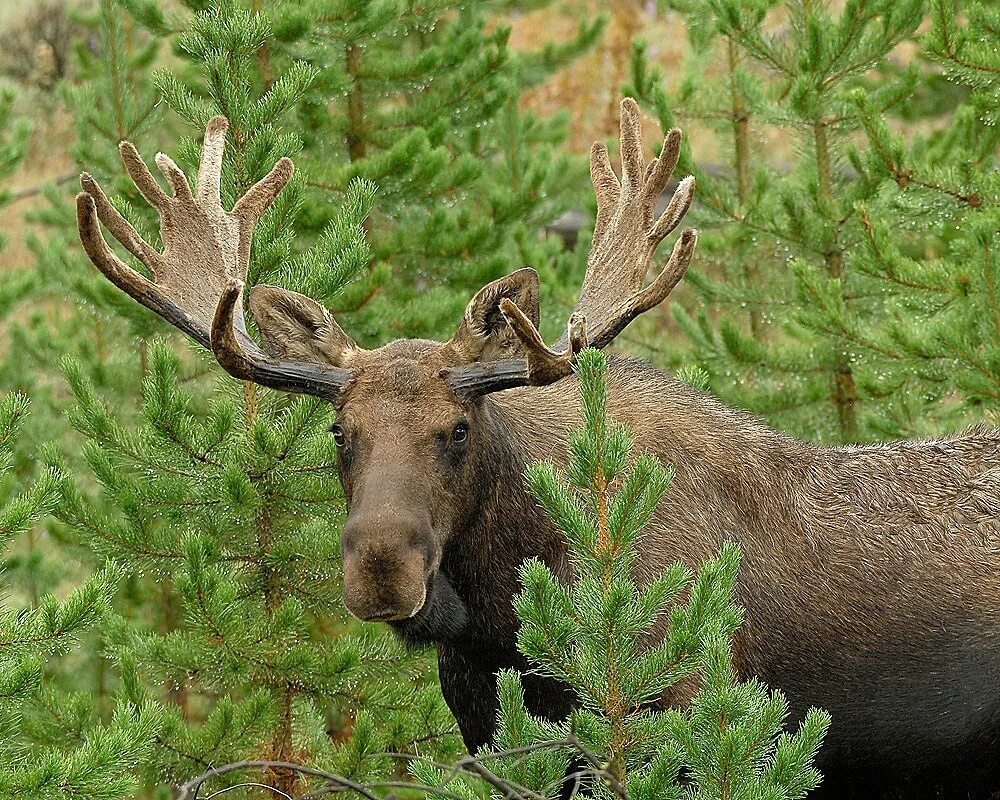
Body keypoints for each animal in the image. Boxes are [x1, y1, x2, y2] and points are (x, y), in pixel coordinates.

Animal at [76, 97, 1000, 796]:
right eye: (340, 431)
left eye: (457, 429)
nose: (382, 568)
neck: (498, 619)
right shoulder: (492, 728)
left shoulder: (682, 720)